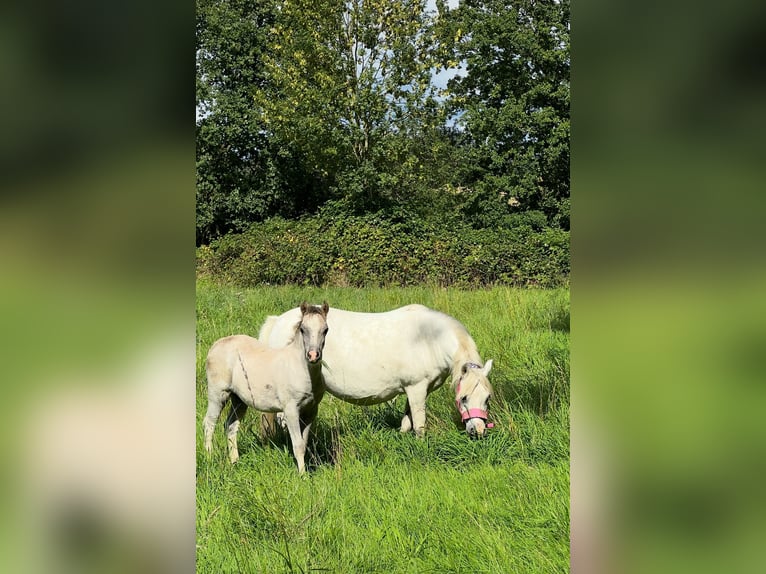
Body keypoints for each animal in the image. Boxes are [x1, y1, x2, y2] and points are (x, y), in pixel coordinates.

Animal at [202, 302, 328, 472]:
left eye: (325, 330)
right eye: (303, 329)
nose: (313, 355)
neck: (299, 368)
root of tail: (216, 345)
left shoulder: (311, 411)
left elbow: (304, 442)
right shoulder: (290, 410)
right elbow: (298, 445)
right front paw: (302, 474)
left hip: (239, 400)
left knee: (230, 425)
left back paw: (235, 462)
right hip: (218, 394)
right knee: (209, 423)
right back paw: (209, 458)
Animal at [260, 306, 496, 436]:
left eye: (487, 399)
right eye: (464, 398)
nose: (478, 431)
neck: (429, 338)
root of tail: (278, 321)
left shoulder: (413, 390)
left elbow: (407, 421)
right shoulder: (417, 388)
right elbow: (419, 424)